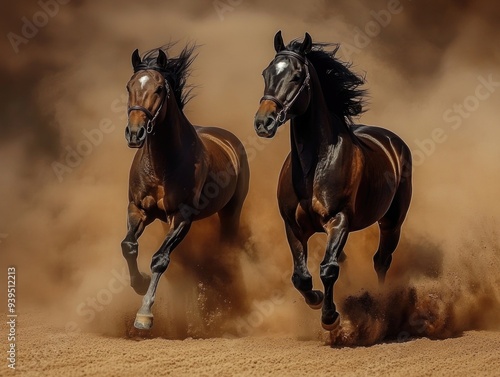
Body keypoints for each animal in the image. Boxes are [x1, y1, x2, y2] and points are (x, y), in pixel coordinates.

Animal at [121, 44, 250, 328]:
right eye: (129, 85)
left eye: (159, 88)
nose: (135, 133)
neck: (162, 164)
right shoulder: (138, 209)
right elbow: (129, 246)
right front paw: (140, 282)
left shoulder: (181, 217)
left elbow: (160, 259)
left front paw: (144, 314)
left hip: (231, 211)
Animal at [252, 32, 412, 328]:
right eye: (266, 73)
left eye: (296, 76)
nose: (263, 122)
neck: (314, 168)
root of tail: (393, 141)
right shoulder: (293, 226)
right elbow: (301, 277)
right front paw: (315, 299)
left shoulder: (339, 221)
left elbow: (328, 269)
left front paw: (331, 317)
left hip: (392, 222)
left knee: (381, 260)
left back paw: (383, 304)